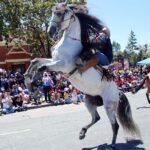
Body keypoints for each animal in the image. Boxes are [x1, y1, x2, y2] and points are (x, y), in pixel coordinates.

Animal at [24, 2, 141, 149]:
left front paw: (33, 86)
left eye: (60, 13)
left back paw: (112, 145)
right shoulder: (54, 60)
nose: (50, 32)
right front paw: (28, 81)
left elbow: (41, 68)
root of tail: (118, 92)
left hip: (109, 106)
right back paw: (82, 133)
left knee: (115, 125)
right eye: (52, 11)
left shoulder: (62, 65)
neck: (69, 43)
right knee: (96, 118)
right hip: (88, 101)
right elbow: (36, 61)